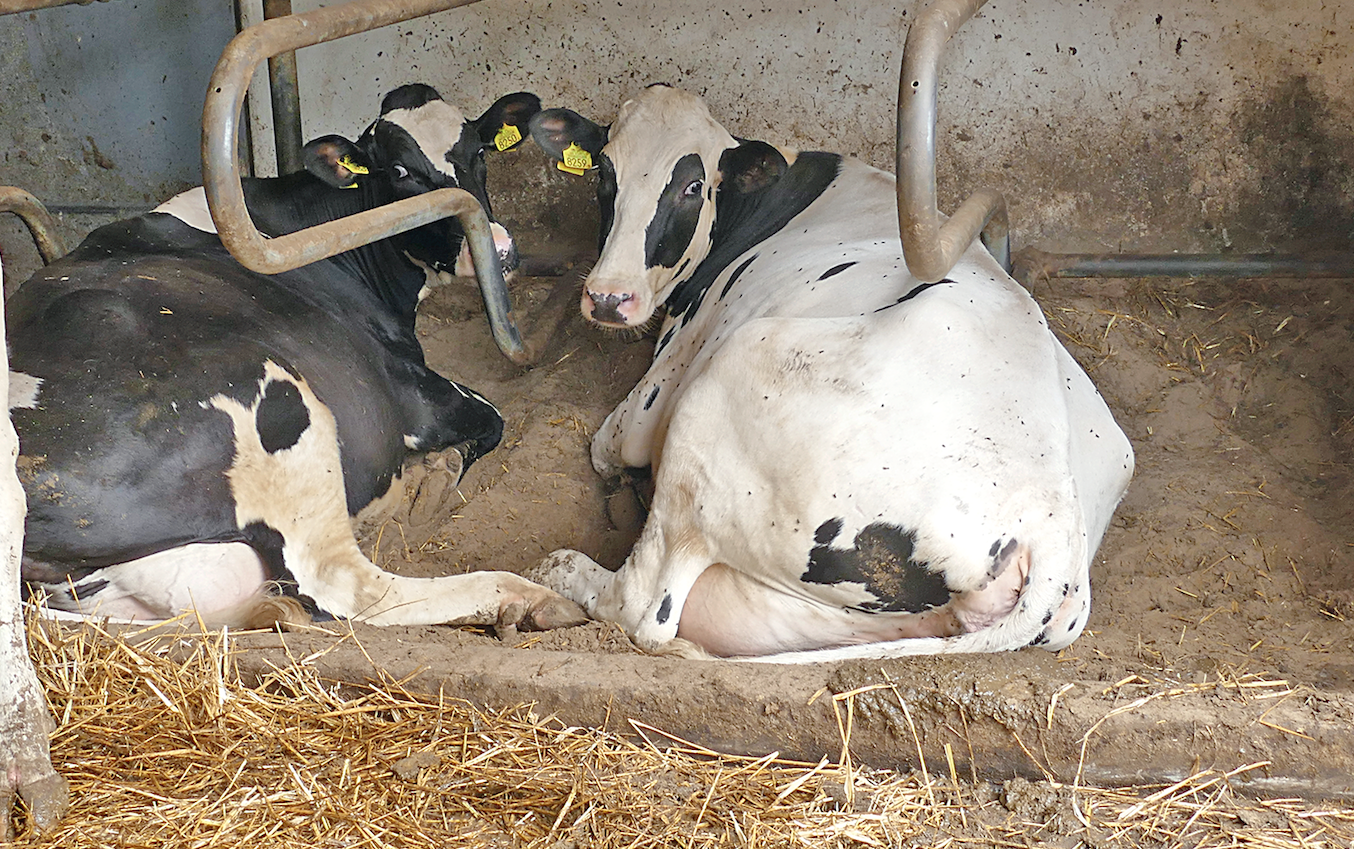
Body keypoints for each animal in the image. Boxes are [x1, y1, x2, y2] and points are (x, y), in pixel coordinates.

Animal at [5, 84, 587, 630]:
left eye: (478, 152)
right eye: (400, 170)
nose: (501, 249)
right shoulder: (409, 389)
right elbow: (491, 417)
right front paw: (438, 473)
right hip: (279, 408)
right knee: (347, 585)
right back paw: (527, 597)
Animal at [522, 82, 1137, 660]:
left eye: (692, 187)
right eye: (604, 171)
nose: (608, 297)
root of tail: (1051, 526)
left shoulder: (661, 384)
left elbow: (607, 447)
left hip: (737, 370)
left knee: (644, 605)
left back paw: (560, 572)